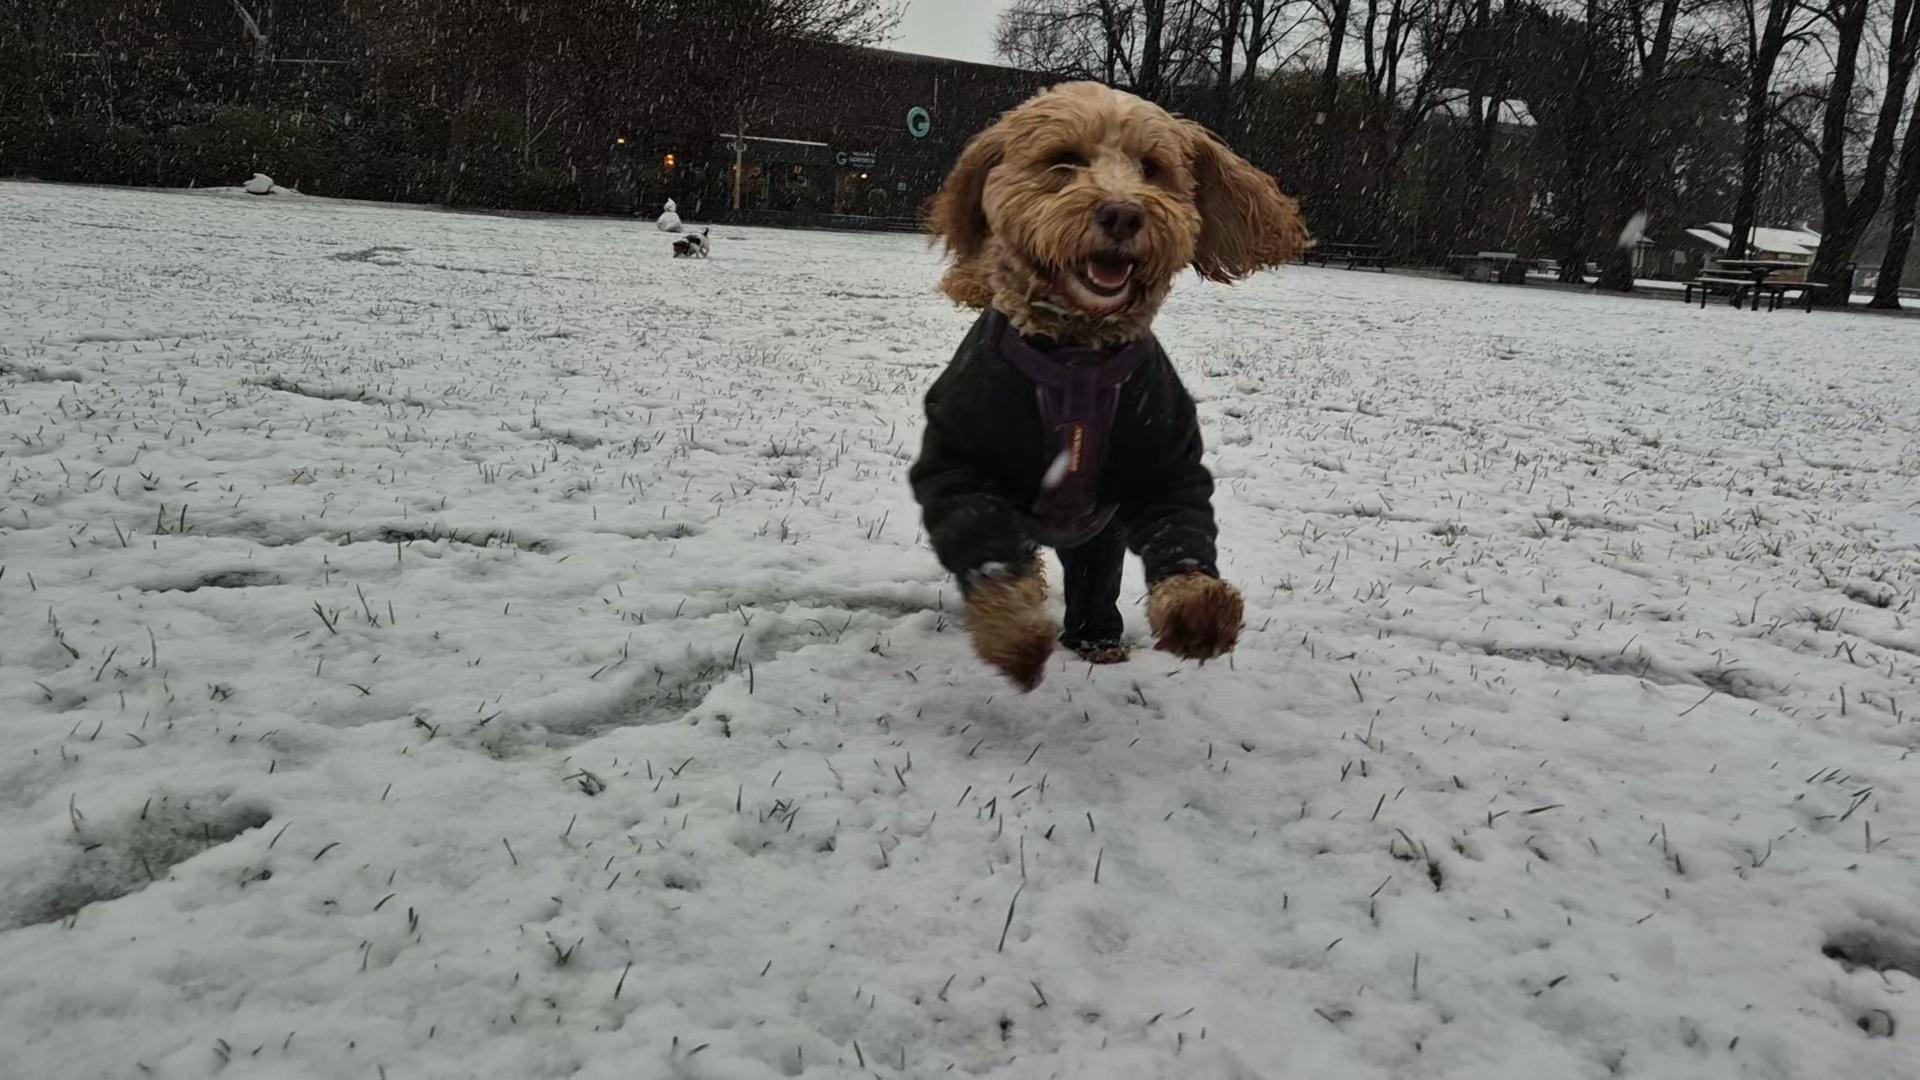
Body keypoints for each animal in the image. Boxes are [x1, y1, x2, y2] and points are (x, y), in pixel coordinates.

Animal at [910, 84, 1305, 687]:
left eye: (1153, 168)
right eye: (1063, 161)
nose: (1123, 213)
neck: (1078, 357)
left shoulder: (1167, 455)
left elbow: (1180, 529)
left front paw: (1199, 612)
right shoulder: (957, 458)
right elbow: (985, 541)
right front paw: (1013, 633)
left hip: (1100, 538)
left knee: (1096, 581)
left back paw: (1098, 640)